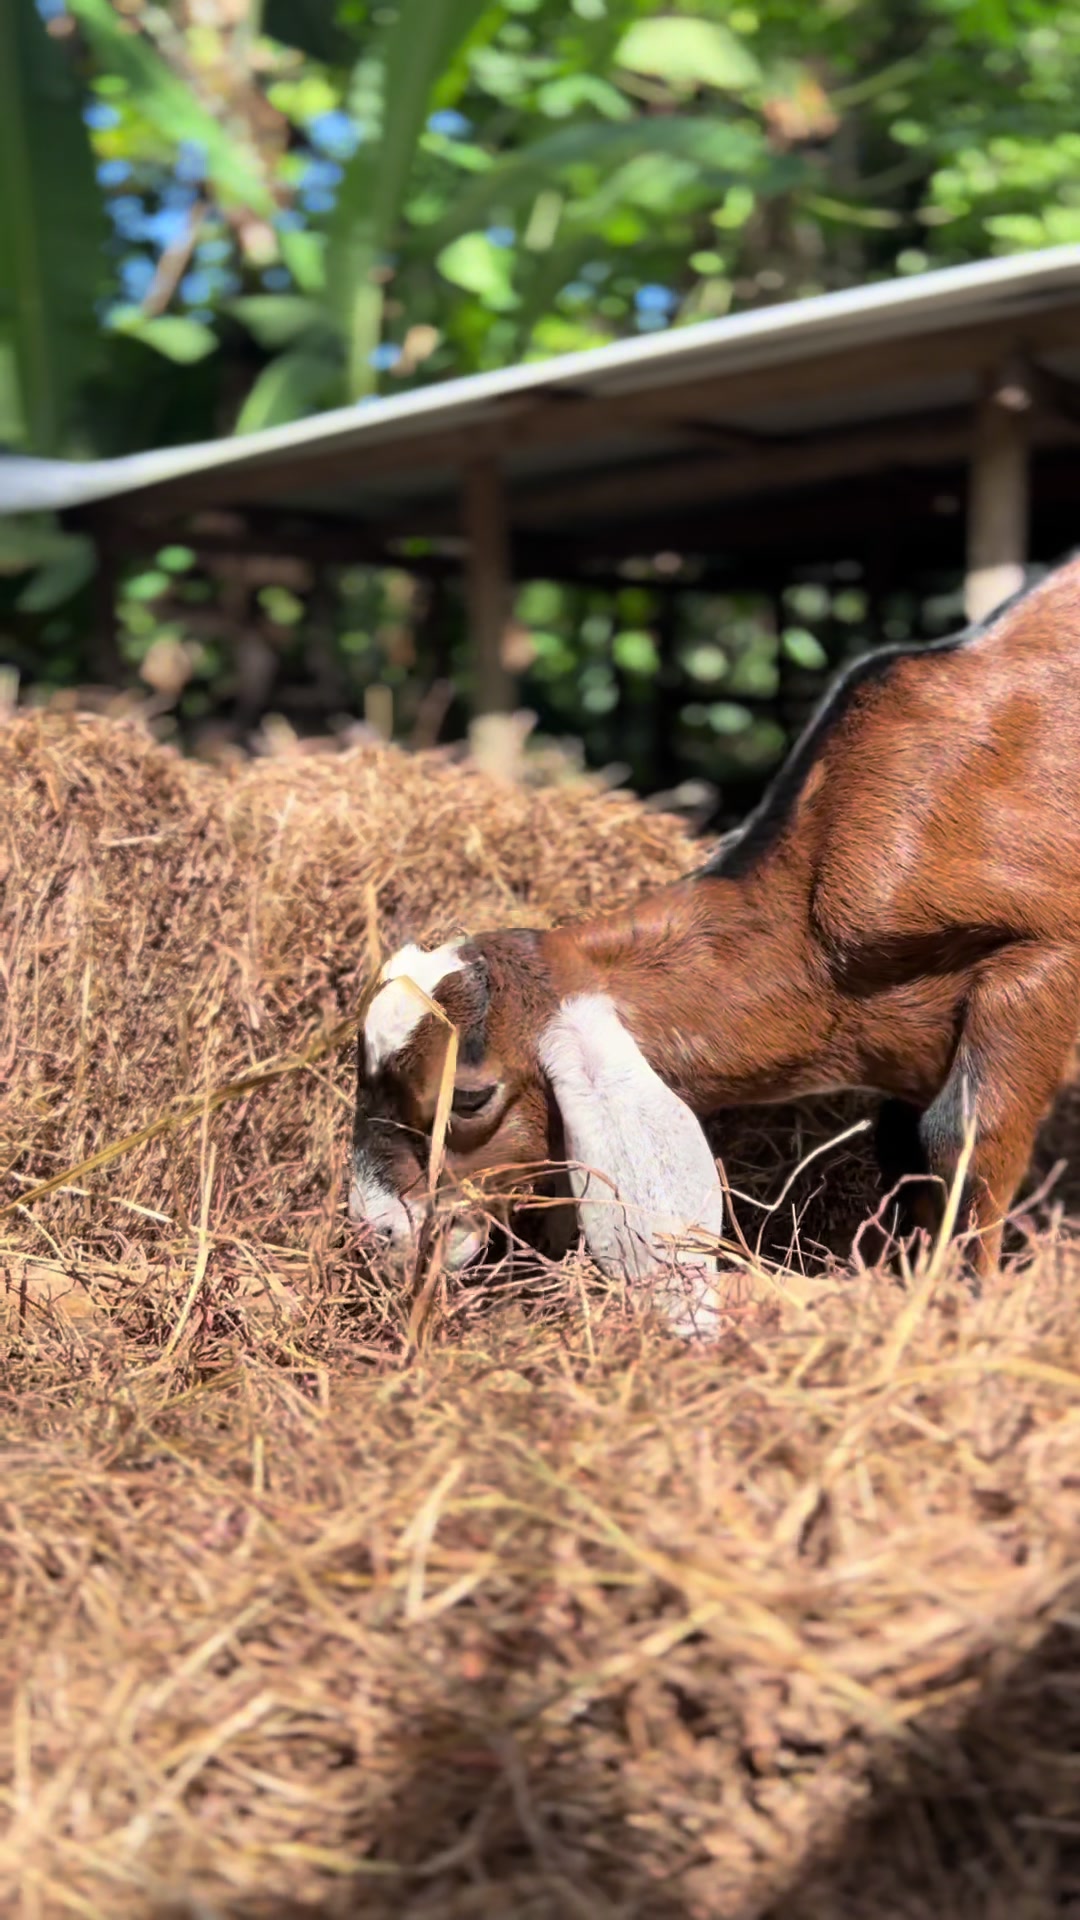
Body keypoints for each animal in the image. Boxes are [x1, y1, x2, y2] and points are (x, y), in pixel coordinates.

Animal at [350, 557, 1080, 1319]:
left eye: (468, 1099)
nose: (379, 1231)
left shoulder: (1041, 957)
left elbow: (962, 1135)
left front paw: (960, 1293)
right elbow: (903, 1149)